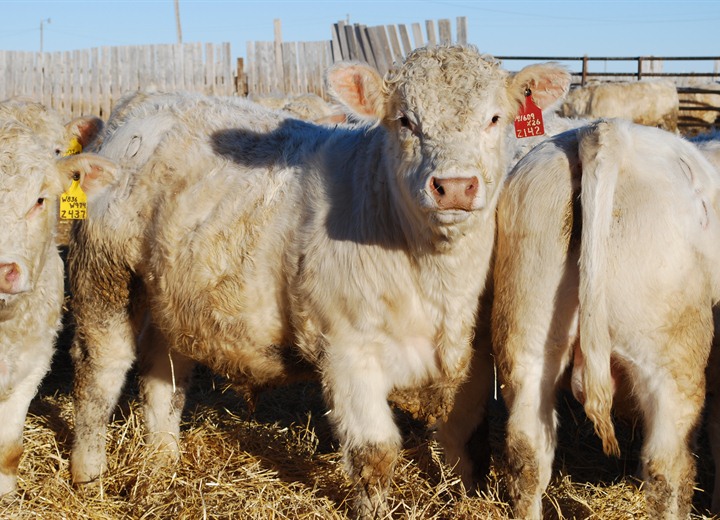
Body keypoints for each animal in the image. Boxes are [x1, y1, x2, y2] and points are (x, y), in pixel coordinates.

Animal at [66, 45, 570, 518]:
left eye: (495, 118)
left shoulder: (473, 355)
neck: (437, 283)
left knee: (163, 372)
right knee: (101, 369)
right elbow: (375, 453)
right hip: (104, 273)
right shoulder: (347, 352)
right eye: (405, 121)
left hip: (174, 295)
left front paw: (466, 495)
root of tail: (147, 101)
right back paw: (88, 474)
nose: (455, 186)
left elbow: (464, 438)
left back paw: (162, 459)